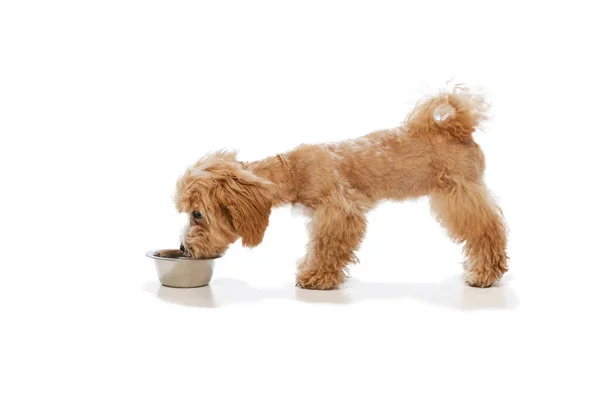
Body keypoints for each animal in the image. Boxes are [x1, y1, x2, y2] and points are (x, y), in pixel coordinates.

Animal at [173, 86, 506, 290]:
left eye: (197, 214)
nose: (183, 248)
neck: (292, 169)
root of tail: (457, 127)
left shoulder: (339, 212)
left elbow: (326, 246)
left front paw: (316, 276)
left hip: (461, 195)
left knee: (489, 229)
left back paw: (485, 273)